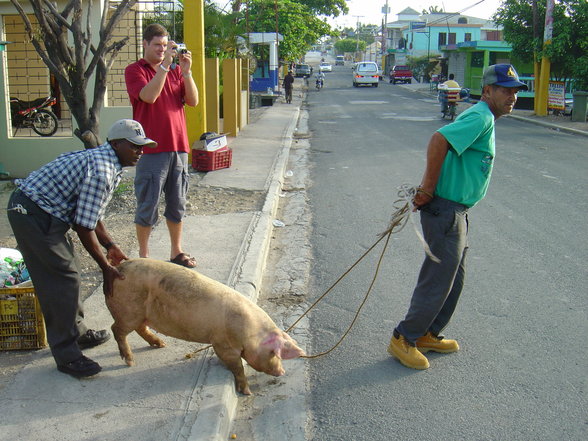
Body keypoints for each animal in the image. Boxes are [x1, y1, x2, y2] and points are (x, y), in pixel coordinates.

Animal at [105, 256, 306, 394]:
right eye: (274, 353)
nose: (282, 371)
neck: (251, 334)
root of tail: (118, 268)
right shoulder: (223, 343)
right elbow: (237, 367)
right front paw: (247, 392)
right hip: (128, 311)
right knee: (116, 329)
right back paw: (130, 361)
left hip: (139, 315)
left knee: (139, 328)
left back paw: (161, 344)